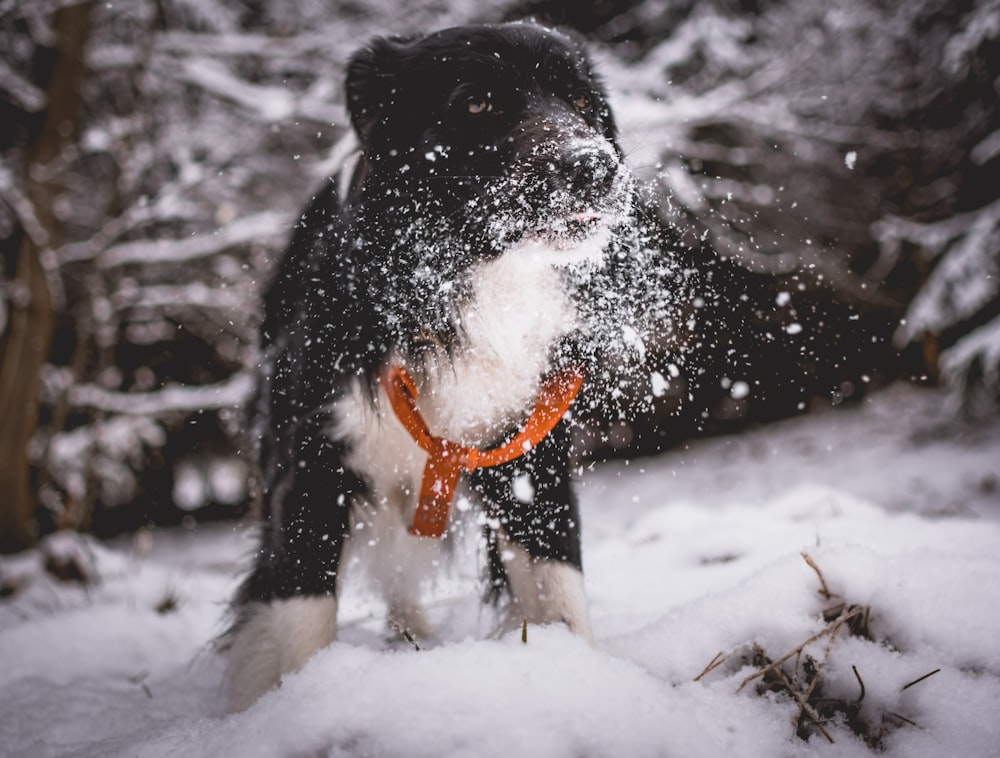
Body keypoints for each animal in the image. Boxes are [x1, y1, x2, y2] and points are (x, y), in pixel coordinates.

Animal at [224, 20, 652, 716]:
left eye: (584, 103)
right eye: (477, 103)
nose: (594, 166)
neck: (460, 284)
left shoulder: (528, 452)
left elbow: (559, 580)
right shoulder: (310, 462)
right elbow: (304, 611)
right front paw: (301, 706)